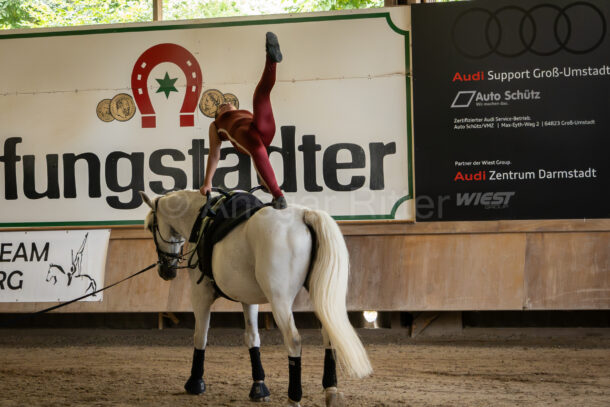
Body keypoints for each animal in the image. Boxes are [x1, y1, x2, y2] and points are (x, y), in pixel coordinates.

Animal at [139, 190, 372, 406]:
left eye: (151, 226)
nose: (166, 271)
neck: (202, 221)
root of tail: (304, 214)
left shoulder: (200, 294)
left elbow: (200, 336)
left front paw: (195, 382)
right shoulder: (248, 299)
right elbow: (252, 337)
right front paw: (259, 387)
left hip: (279, 300)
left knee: (294, 340)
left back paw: (294, 397)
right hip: (319, 295)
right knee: (329, 334)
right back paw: (330, 390)